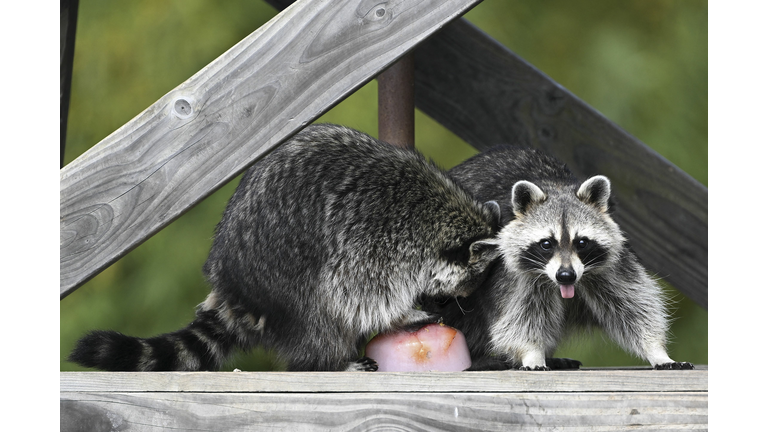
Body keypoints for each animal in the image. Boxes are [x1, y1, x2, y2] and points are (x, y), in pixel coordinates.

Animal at [69, 124, 500, 372]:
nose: (447, 308)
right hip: (281, 281)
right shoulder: (369, 239)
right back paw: (326, 362)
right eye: (458, 292)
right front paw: (402, 314)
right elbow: (356, 296)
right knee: (317, 315)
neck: (436, 213)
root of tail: (231, 290)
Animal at [424, 146, 692, 372]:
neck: (557, 187)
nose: (566, 275)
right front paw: (532, 353)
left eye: (581, 242)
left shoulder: (612, 266)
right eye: (546, 244)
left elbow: (635, 306)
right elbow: (518, 318)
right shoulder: (512, 274)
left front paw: (657, 350)